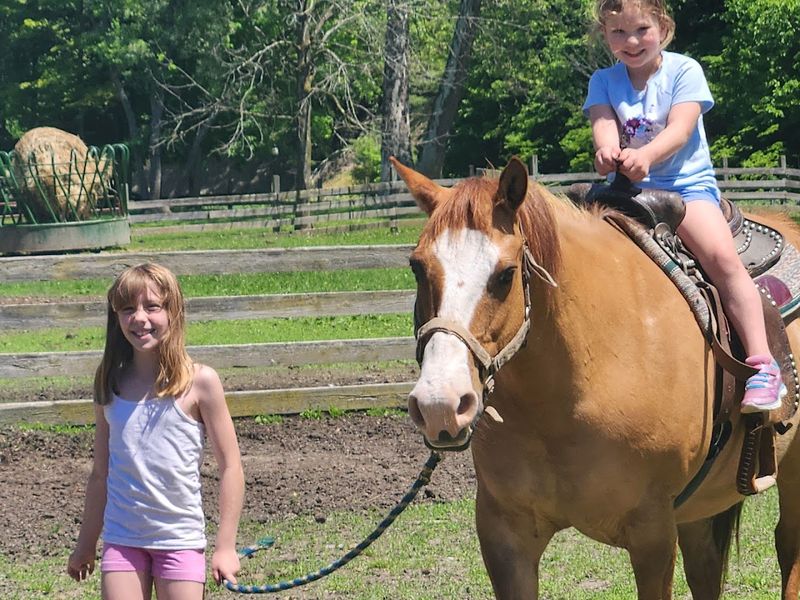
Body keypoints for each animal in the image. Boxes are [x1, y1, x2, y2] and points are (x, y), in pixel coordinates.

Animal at [390, 156, 800, 599]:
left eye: (506, 274)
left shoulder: (653, 532)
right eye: (416, 267)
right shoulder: (504, 534)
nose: (440, 405)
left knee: (787, 545)